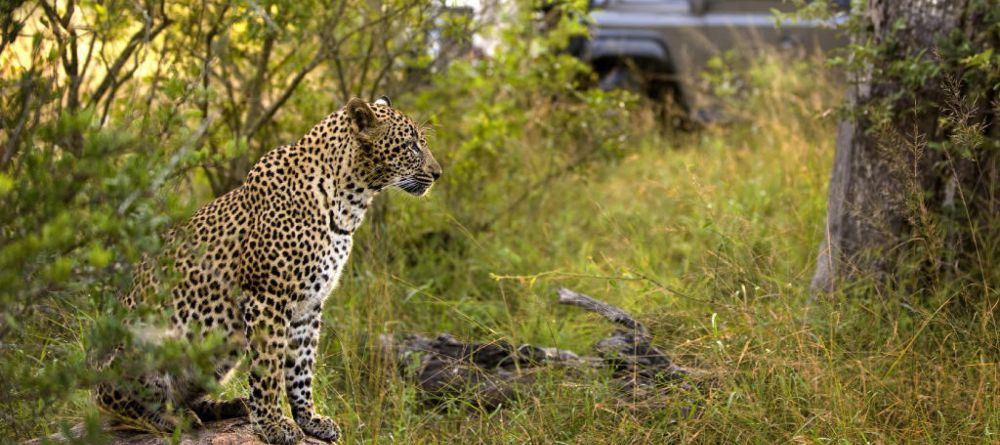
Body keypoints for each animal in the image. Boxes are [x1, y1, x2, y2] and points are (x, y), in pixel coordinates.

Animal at [93, 96, 441, 444]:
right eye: (411, 146)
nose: (437, 173)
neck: (348, 204)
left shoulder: (309, 306)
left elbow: (301, 368)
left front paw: (309, 420)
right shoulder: (268, 299)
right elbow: (269, 368)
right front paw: (273, 424)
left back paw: (228, 406)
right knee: (123, 408)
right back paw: (172, 419)